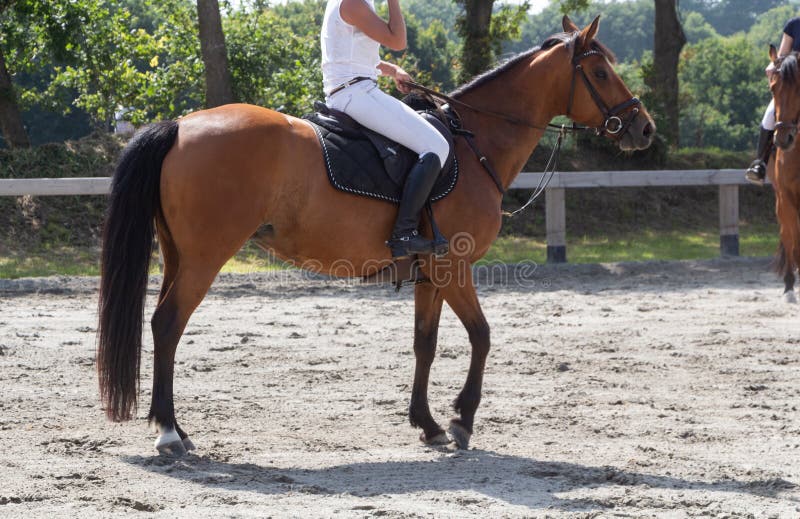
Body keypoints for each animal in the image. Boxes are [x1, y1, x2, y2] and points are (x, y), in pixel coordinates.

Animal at [97, 15, 652, 456]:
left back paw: (175, 428)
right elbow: (482, 336)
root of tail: (180, 125)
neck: (476, 146)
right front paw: (461, 420)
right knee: (168, 324)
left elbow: (425, 343)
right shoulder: (455, 266)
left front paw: (428, 425)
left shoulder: (431, 273)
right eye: (600, 72)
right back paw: (170, 433)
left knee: (161, 324)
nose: (643, 129)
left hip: (178, 254)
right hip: (205, 257)